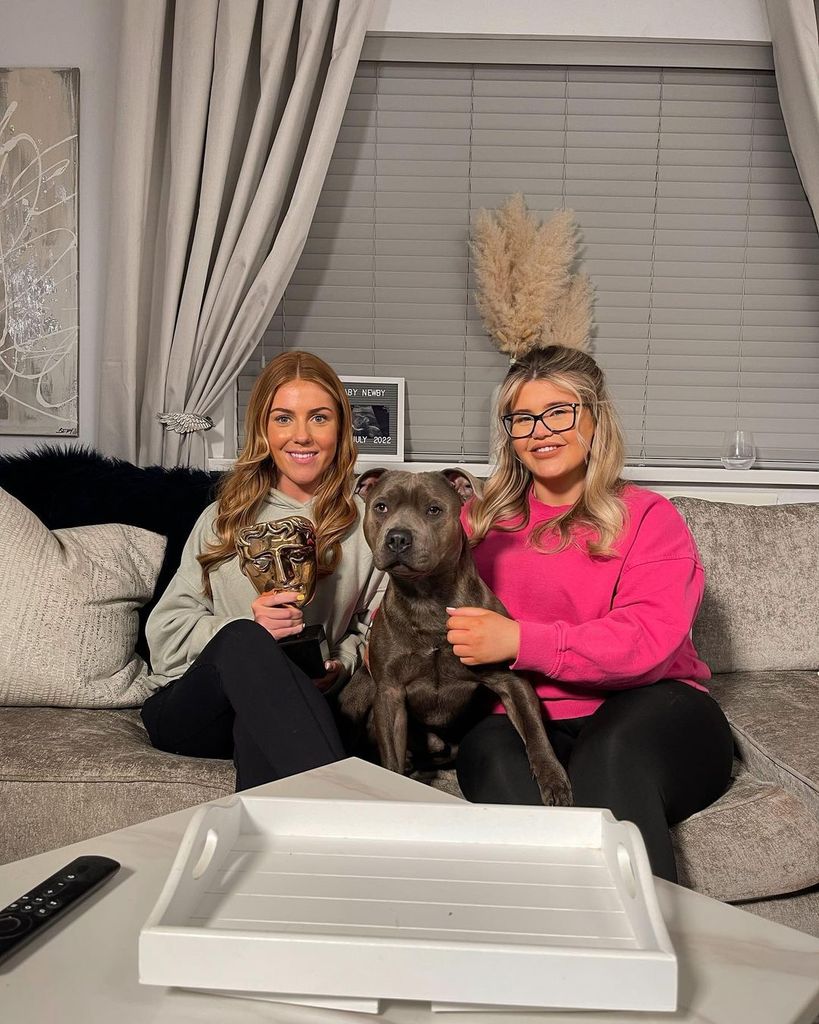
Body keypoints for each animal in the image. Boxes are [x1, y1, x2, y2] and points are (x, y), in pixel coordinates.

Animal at [335, 468, 573, 802]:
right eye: (381, 506)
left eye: (434, 509)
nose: (398, 537)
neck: (427, 599)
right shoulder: (390, 692)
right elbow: (391, 757)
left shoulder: (512, 682)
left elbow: (535, 732)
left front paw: (553, 779)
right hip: (359, 693)